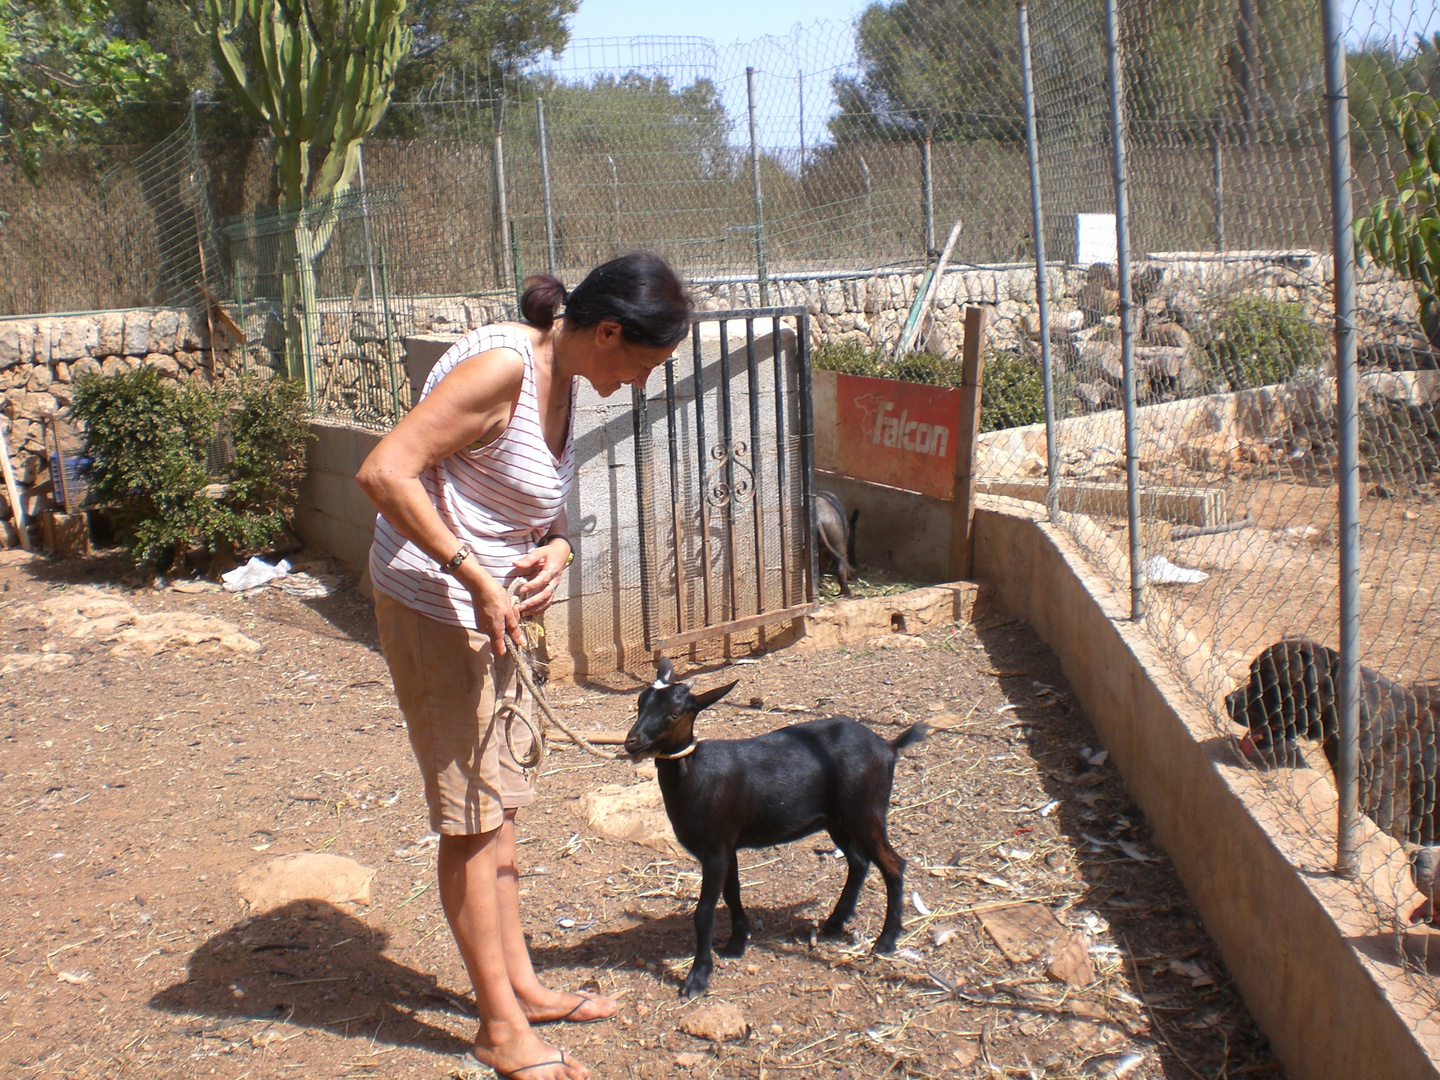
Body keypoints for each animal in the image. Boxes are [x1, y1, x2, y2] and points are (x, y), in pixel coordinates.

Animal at [627, 665, 921, 1002]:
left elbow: (704, 912)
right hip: (838, 820)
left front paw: (697, 978)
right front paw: (736, 942)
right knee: (859, 861)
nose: (632, 742)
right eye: (640, 703)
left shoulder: (714, 848)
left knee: (893, 864)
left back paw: (886, 941)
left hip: (866, 811)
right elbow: (732, 892)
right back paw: (834, 923)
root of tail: (888, 746)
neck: (694, 776)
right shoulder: (728, 844)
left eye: (675, 713)